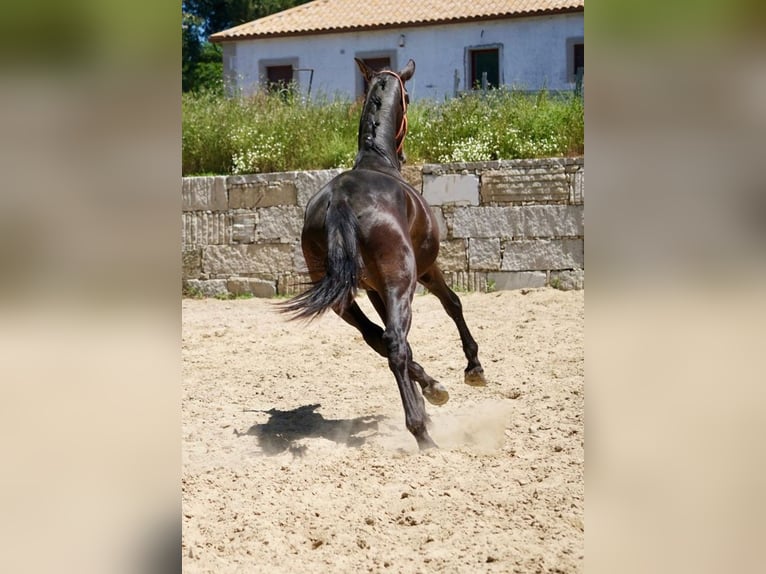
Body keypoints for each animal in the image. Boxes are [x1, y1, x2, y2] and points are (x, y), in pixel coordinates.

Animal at [282, 58, 486, 452]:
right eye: (408, 97)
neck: (378, 163)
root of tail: (341, 199)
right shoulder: (424, 270)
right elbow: (453, 304)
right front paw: (474, 369)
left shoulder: (375, 289)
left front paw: (432, 390)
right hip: (401, 281)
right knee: (393, 342)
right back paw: (422, 433)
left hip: (343, 298)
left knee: (377, 338)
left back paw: (429, 397)